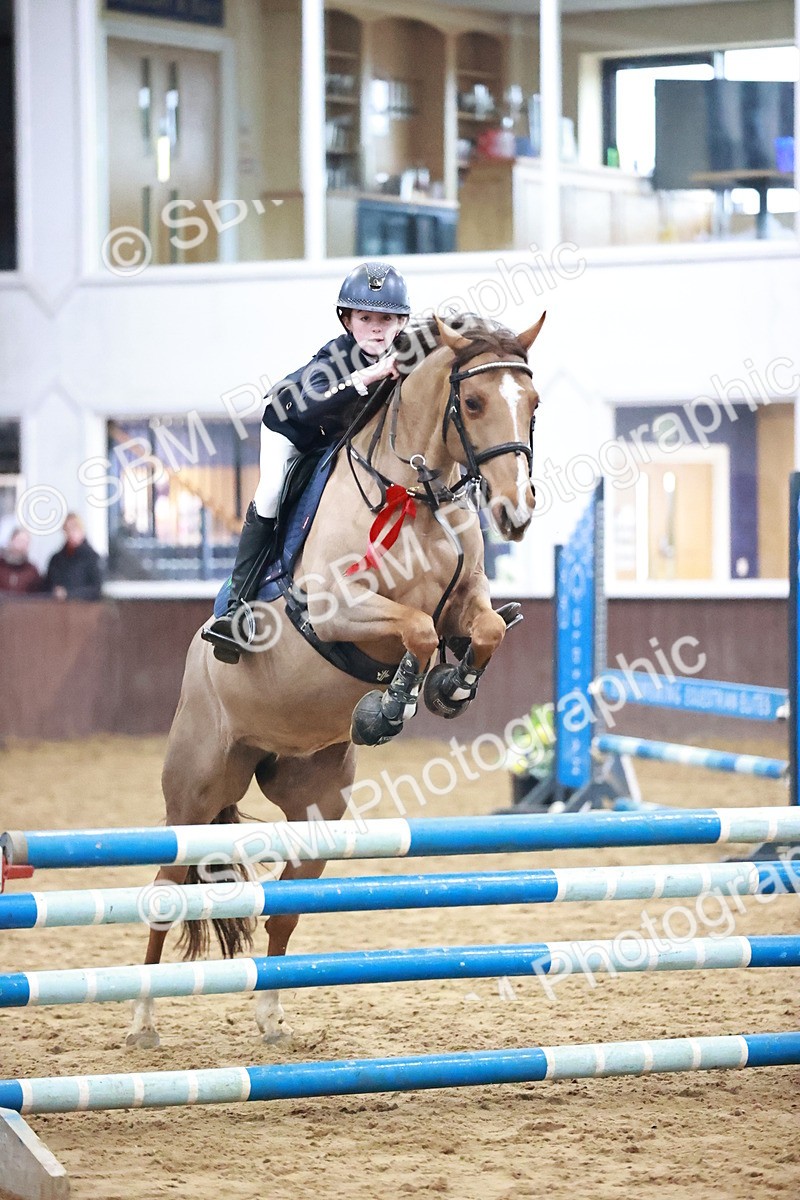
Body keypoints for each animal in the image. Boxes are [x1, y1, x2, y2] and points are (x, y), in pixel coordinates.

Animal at [126, 312, 545, 1048]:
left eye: (535, 403)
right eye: (471, 403)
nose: (515, 514)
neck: (414, 495)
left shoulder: (467, 602)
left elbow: (482, 630)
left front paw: (450, 688)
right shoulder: (335, 610)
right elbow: (417, 629)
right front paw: (390, 707)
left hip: (316, 803)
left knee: (284, 910)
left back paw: (271, 1016)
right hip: (195, 797)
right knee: (165, 891)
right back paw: (145, 1020)